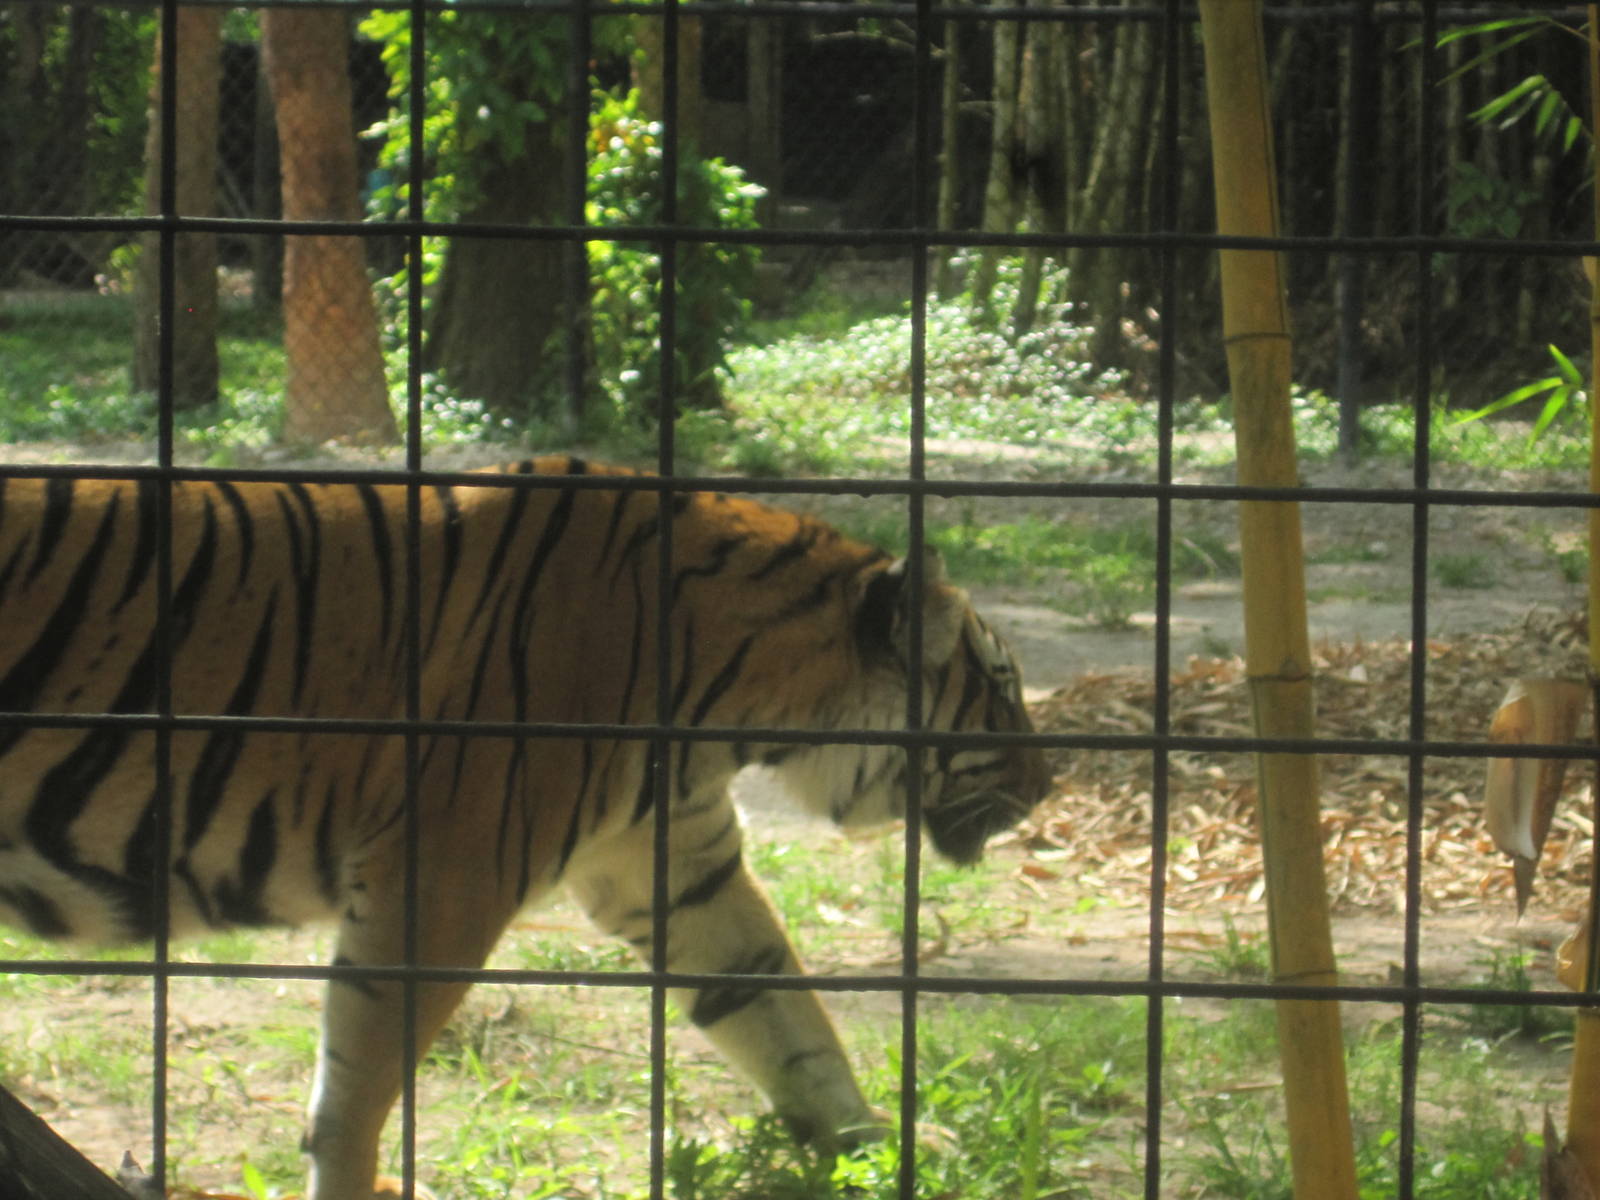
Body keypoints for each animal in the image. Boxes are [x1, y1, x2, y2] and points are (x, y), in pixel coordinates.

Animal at [0, 454, 1050, 1199]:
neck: (743, 700)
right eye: (1001, 689)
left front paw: (875, 1150)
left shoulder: (678, 867)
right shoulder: (444, 877)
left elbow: (785, 1017)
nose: (1047, 786)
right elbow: (357, 1089)